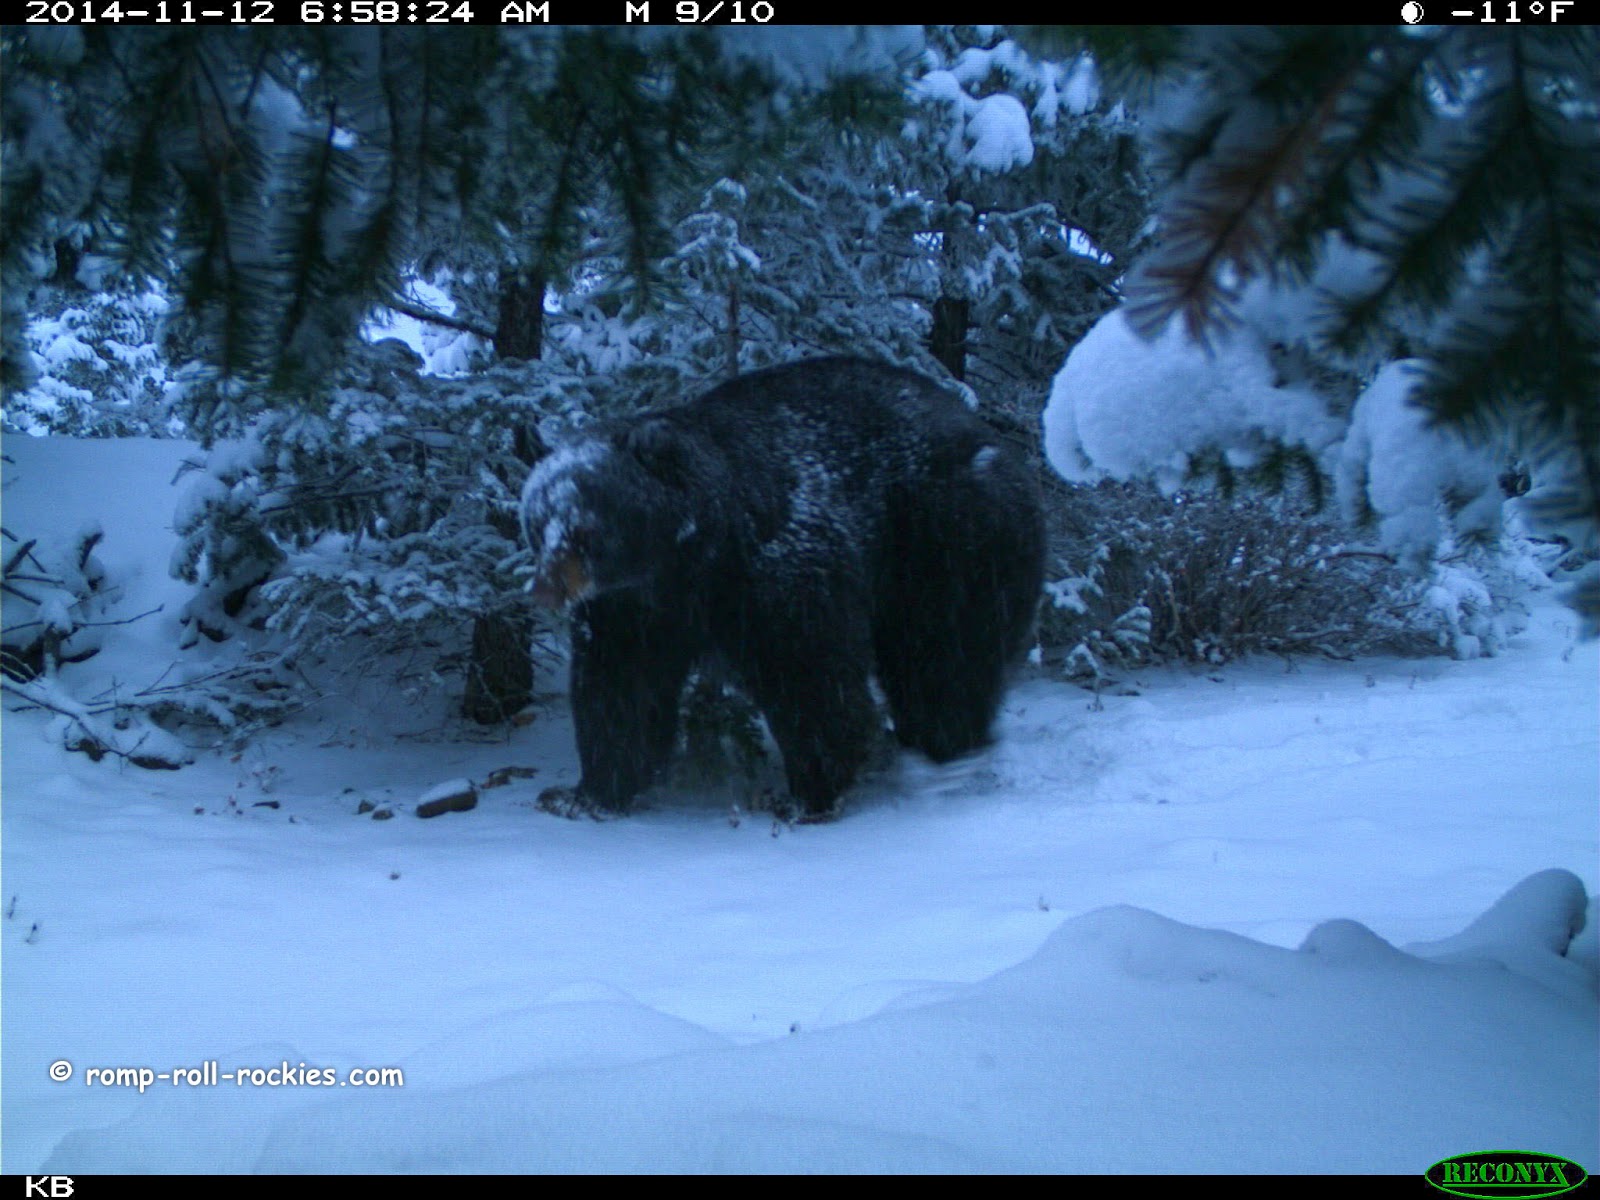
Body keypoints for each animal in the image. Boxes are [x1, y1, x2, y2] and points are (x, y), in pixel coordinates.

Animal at [519, 356, 1046, 821]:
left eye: (585, 529)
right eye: (536, 523)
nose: (545, 589)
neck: (687, 558)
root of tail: (998, 441)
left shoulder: (775, 571)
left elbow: (811, 678)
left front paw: (805, 795)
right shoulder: (630, 609)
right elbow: (620, 689)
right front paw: (584, 794)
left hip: (947, 540)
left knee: (944, 657)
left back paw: (944, 747)